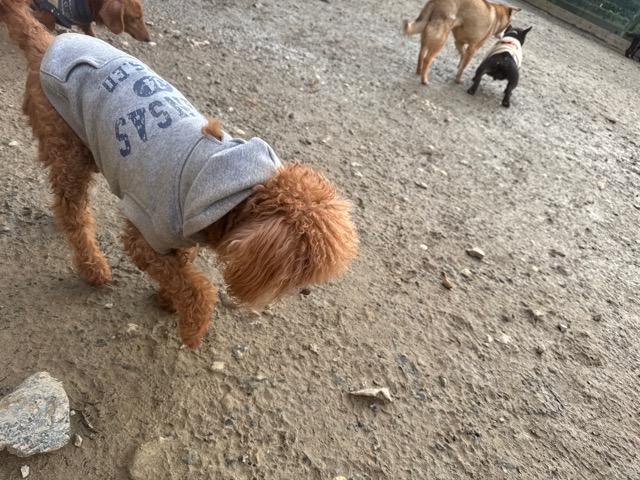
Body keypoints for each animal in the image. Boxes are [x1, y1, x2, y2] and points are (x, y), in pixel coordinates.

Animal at [0, 0, 358, 349]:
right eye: (302, 268)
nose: (307, 292)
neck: (228, 190)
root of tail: (47, 43)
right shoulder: (146, 233)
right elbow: (193, 284)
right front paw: (192, 328)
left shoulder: (181, 236)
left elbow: (179, 270)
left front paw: (168, 299)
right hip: (68, 148)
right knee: (72, 211)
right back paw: (93, 266)